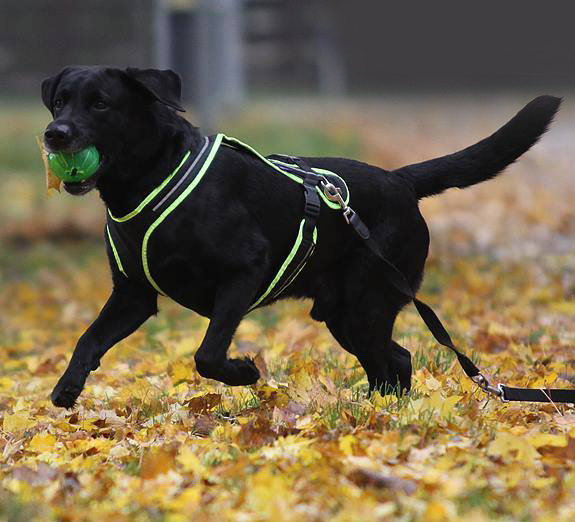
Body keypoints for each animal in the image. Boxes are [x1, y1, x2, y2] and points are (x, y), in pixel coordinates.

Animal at [41, 66, 560, 408]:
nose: (53, 133)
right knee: (393, 359)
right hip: (344, 314)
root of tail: (400, 180)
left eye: (101, 103)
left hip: (365, 304)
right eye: (60, 100)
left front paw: (244, 372)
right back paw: (377, 412)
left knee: (396, 358)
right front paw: (67, 388)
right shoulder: (132, 295)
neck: (152, 177)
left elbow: (208, 353)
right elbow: (88, 339)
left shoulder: (244, 271)